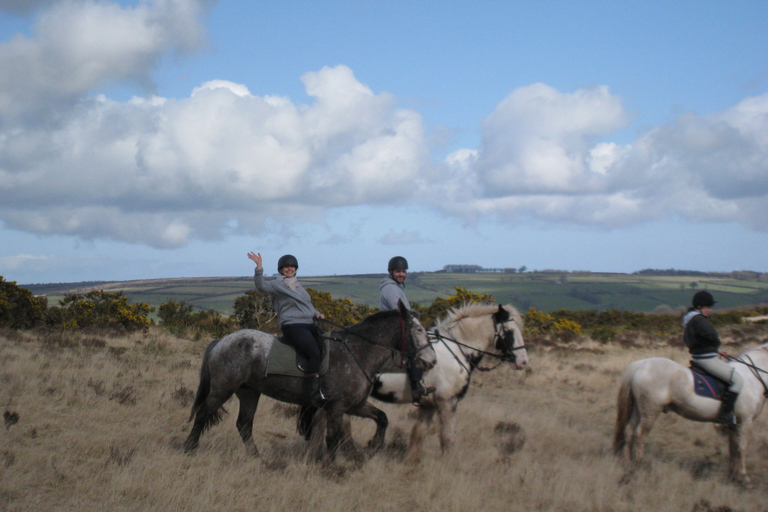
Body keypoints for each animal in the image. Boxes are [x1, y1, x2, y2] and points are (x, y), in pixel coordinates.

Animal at [179, 298, 432, 458]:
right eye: (419, 330)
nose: (430, 359)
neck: (357, 352)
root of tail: (221, 341)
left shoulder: (355, 405)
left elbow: (382, 418)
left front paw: (374, 445)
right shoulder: (336, 407)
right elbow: (333, 437)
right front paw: (331, 466)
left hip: (249, 392)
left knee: (244, 424)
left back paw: (256, 457)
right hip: (223, 388)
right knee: (204, 413)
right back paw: (189, 448)